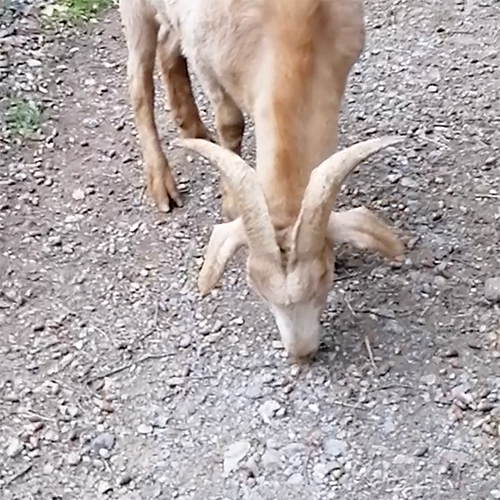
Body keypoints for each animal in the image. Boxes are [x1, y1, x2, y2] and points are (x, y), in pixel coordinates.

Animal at [120, 0, 406, 360]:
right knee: (138, 82)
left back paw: (192, 128)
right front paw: (229, 203)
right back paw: (161, 183)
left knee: (167, 46)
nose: (301, 355)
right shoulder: (205, 57)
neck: (292, 26)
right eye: (254, 286)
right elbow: (230, 123)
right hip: (135, 12)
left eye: (324, 276)